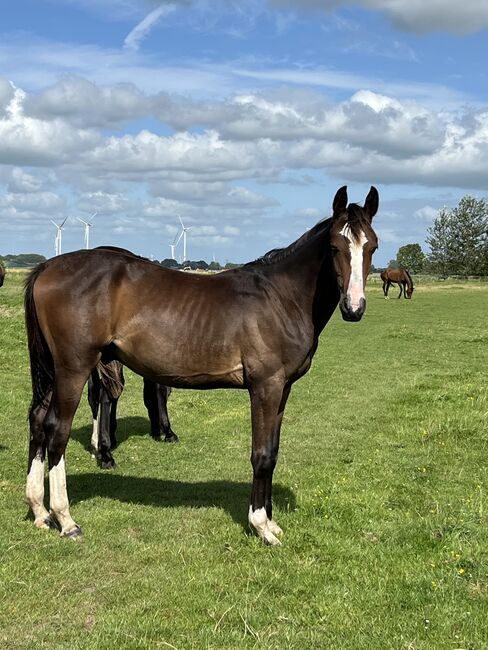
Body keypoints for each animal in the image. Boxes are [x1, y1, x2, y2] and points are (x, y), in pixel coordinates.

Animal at [24, 185, 380, 544]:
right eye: (335, 246)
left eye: (372, 247)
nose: (354, 308)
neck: (281, 299)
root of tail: (46, 268)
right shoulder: (265, 387)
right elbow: (262, 454)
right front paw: (261, 527)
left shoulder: (283, 389)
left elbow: (274, 451)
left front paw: (271, 521)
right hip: (73, 369)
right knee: (57, 429)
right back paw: (65, 519)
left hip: (54, 371)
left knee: (39, 420)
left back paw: (39, 511)